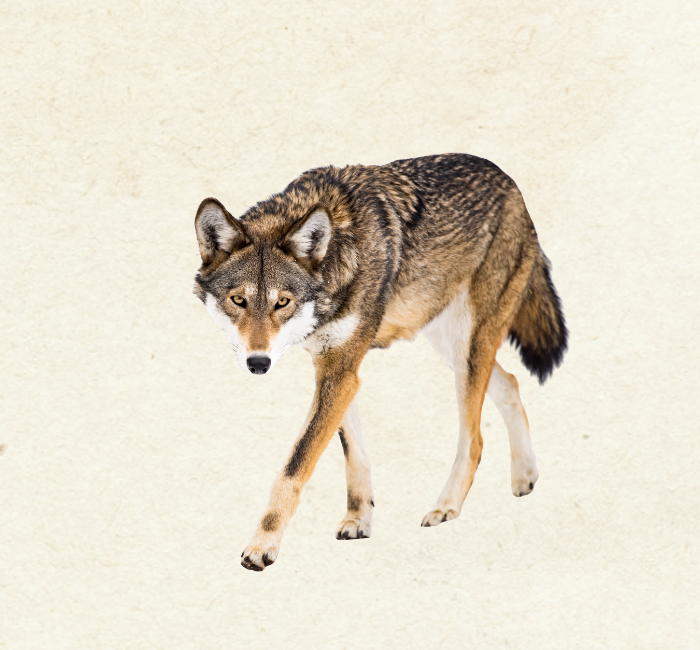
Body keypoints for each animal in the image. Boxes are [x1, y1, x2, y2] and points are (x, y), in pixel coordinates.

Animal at [193, 154, 567, 571]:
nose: (258, 363)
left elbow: (295, 465)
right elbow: (354, 456)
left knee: (475, 438)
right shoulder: (337, 368)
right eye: (238, 300)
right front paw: (359, 519)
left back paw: (446, 507)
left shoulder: (341, 370)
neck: (338, 252)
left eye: (282, 302)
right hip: (454, 348)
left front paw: (262, 545)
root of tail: (510, 181)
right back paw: (525, 476)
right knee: (510, 382)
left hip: (468, 346)